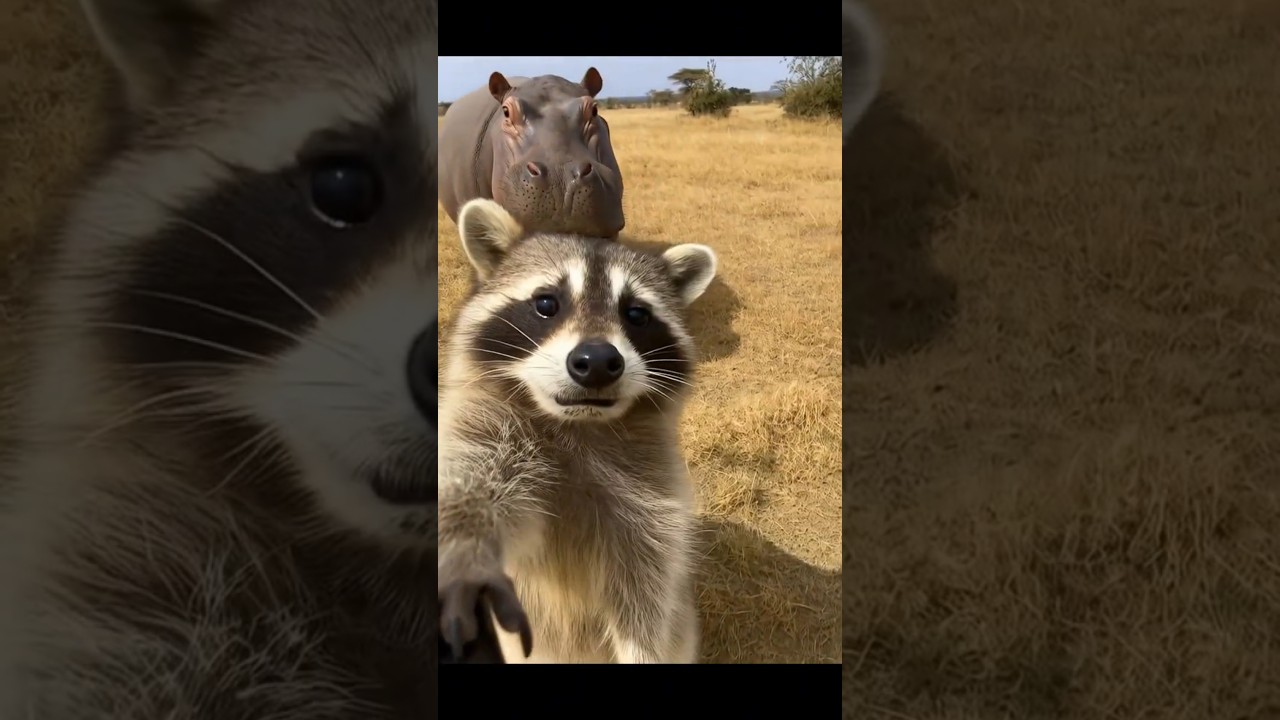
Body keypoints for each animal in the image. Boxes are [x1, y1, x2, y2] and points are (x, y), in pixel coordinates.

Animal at [436, 198, 718, 664]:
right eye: (546, 303)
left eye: (636, 314)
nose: (599, 361)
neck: (578, 425)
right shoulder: (485, 431)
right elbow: (468, 493)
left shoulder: (649, 499)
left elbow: (647, 597)